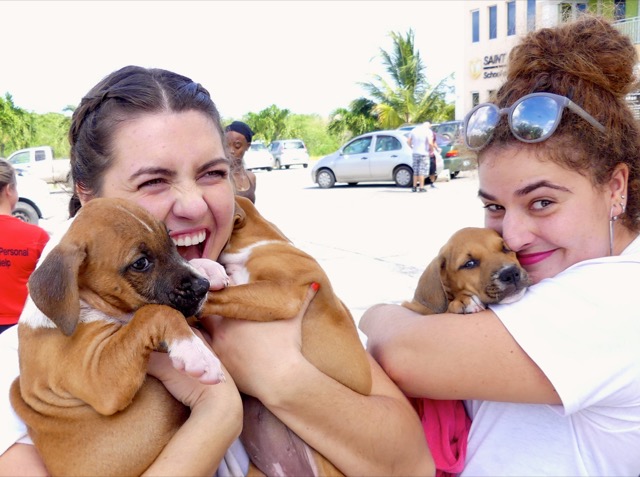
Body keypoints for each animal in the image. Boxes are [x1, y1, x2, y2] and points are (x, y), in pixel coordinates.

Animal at [8, 197, 225, 476]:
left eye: (170, 238)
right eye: (141, 263)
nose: (202, 287)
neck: (84, 301)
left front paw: (210, 268)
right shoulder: (100, 378)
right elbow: (154, 312)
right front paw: (196, 352)